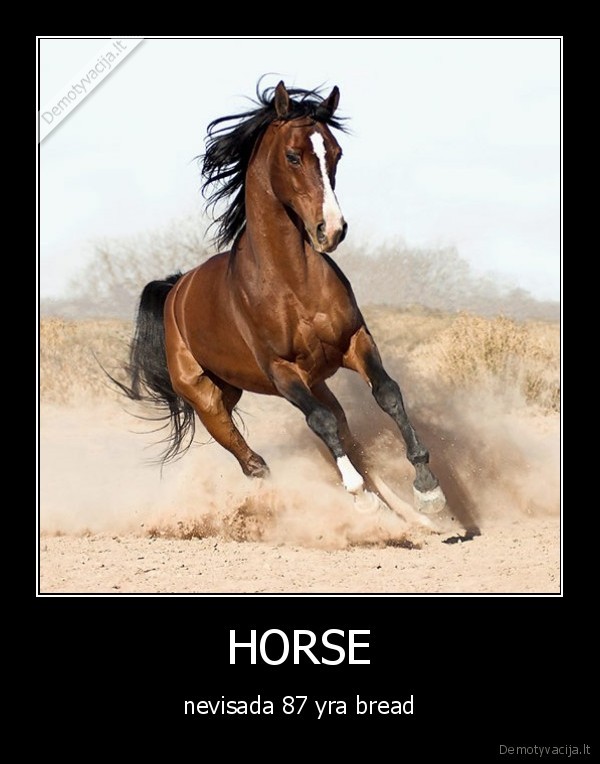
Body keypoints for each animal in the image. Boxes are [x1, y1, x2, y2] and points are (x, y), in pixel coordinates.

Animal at [118, 80, 447, 518]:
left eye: (336, 153)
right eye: (293, 156)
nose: (332, 229)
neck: (292, 282)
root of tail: (175, 291)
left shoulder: (355, 341)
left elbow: (387, 393)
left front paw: (427, 488)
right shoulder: (281, 371)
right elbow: (321, 422)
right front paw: (359, 494)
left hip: (300, 382)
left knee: (341, 428)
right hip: (208, 399)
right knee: (253, 462)